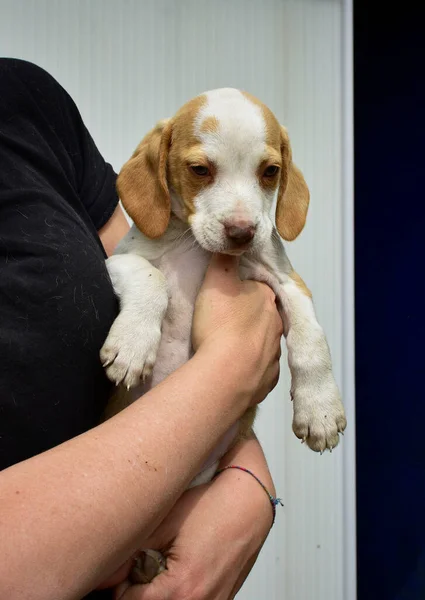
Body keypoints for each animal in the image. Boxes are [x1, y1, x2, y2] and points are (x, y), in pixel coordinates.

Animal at [101, 88, 346, 580]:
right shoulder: (119, 261)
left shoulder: (286, 279)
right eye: (200, 170)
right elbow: (151, 280)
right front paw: (134, 345)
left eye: (269, 171)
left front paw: (320, 408)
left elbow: (312, 338)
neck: (196, 247)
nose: (242, 232)